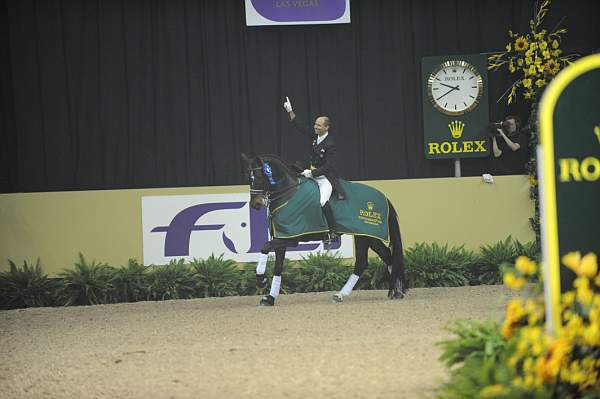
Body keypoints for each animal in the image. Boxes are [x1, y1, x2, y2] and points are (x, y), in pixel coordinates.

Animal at [240, 154, 408, 306]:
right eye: (249, 178)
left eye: (259, 176)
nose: (255, 204)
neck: (289, 194)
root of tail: (383, 197)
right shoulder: (282, 237)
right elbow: (278, 268)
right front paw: (269, 298)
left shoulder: (291, 239)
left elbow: (264, 247)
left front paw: (261, 280)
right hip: (365, 235)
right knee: (378, 258)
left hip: (366, 235)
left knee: (370, 260)